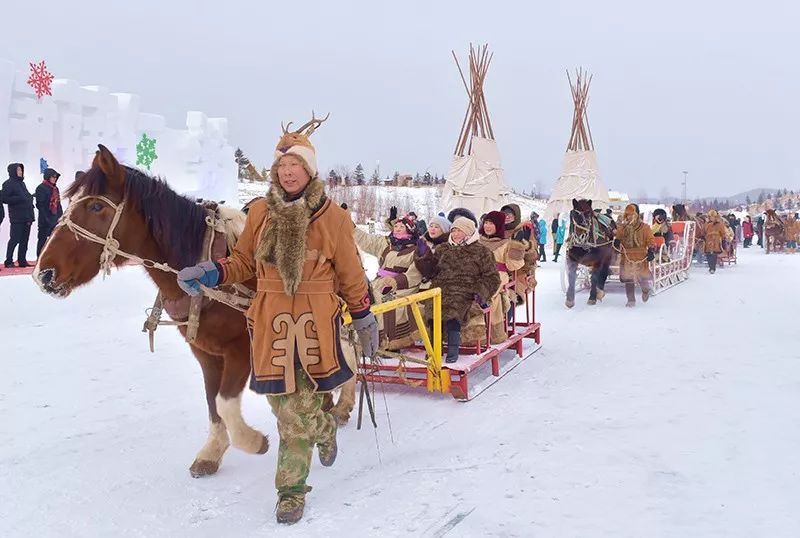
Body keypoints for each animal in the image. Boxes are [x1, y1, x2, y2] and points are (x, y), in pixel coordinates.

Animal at [32, 144, 356, 476]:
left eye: (97, 206)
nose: (44, 274)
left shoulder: (241, 349)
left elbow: (226, 403)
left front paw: (253, 441)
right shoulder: (205, 352)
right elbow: (213, 404)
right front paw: (213, 450)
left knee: (349, 359)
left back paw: (340, 407)